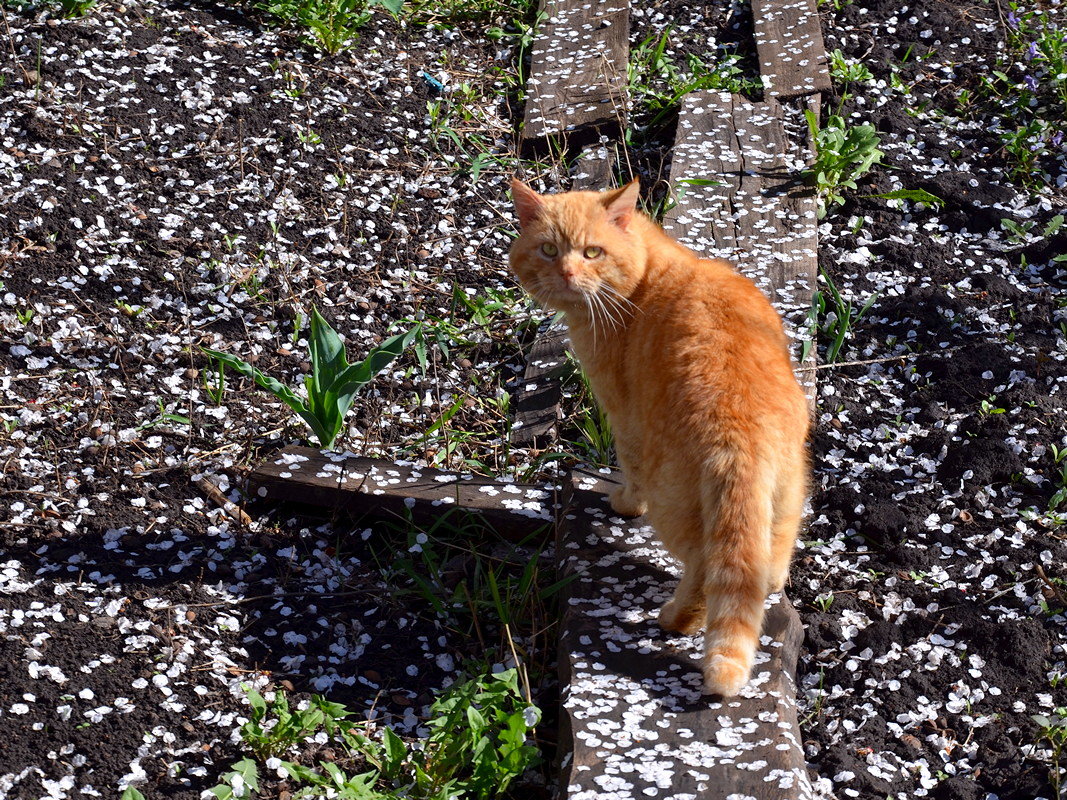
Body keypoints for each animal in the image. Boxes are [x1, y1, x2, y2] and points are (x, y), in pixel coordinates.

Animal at [507, 178, 806, 699]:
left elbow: (629, 470)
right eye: (548, 250)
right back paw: (767, 583)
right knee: (766, 562)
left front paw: (624, 503)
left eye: (592, 252)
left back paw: (675, 620)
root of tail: (741, 431)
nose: (566, 273)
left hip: (675, 505)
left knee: (705, 569)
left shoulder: (623, 414)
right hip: (785, 498)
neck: (646, 272)